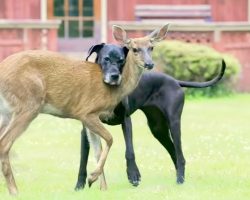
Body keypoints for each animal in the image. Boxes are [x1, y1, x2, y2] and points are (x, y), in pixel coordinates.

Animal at [0, 24, 170, 195]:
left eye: (151, 47)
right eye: (134, 49)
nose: (149, 64)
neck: (112, 90)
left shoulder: (91, 119)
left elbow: (97, 150)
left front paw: (102, 188)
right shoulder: (86, 112)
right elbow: (109, 139)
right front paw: (92, 177)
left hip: (8, 112)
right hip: (28, 104)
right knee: (5, 143)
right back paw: (14, 191)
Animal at [74, 43, 227, 189]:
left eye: (121, 61)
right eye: (106, 59)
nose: (115, 76)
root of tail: (175, 81)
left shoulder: (126, 120)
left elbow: (129, 151)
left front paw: (133, 175)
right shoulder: (87, 128)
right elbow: (83, 158)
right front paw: (79, 185)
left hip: (174, 124)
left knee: (180, 154)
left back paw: (180, 180)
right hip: (158, 129)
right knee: (173, 152)